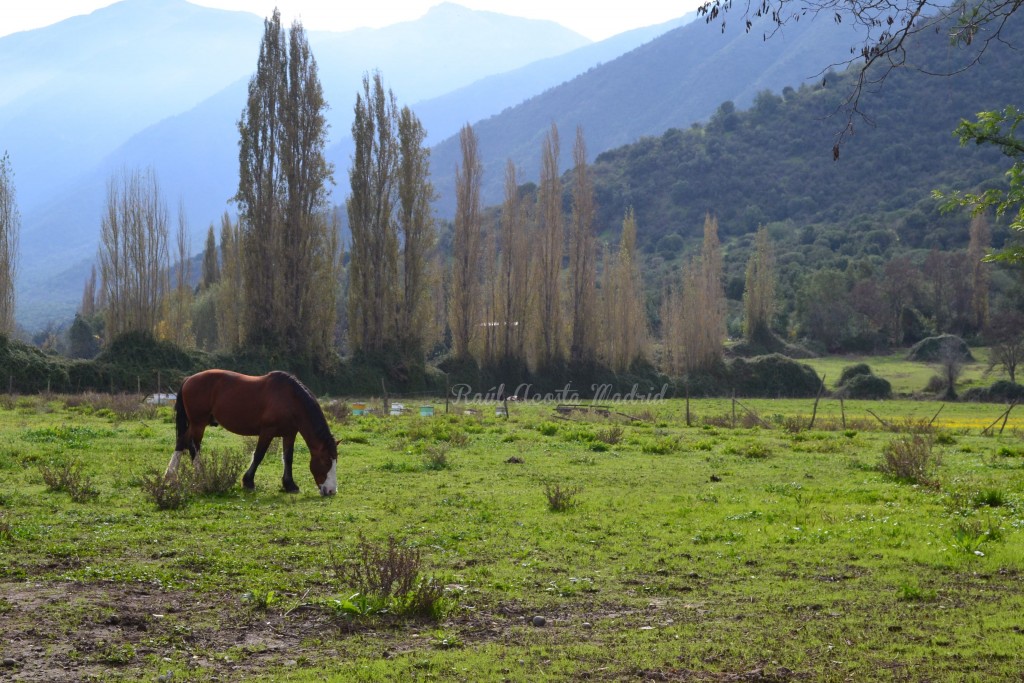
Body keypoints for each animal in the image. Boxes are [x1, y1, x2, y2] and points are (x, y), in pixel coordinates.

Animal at [164, 368, 339, 497]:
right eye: (326, 462)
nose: (331, 490)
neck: (290, 399)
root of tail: (188, 379)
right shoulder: (267, 431)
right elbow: (259, 455)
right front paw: (248, 482)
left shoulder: (289, 434)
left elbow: (288, 458)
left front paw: (290, 485)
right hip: (198, 424)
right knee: (191, 445)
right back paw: (197, 475)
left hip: (197, 424)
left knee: (183, 443)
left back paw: (173, 476)